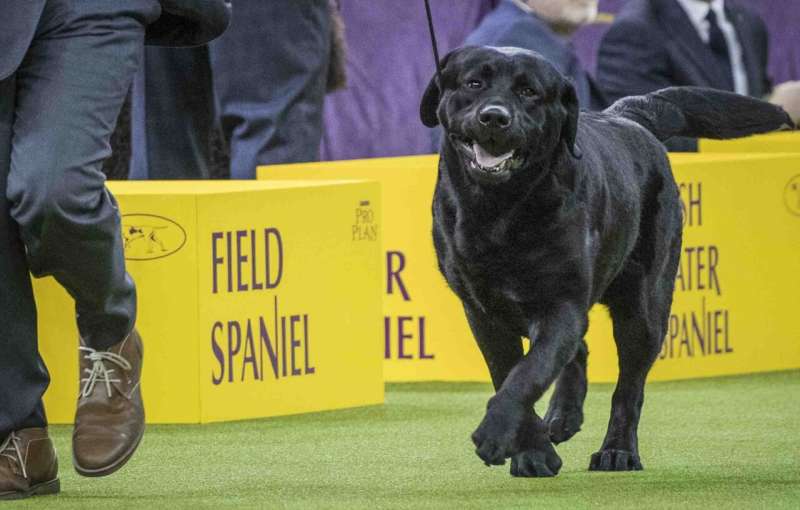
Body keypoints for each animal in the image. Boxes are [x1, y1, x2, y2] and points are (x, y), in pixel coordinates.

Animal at [422, 45, 792, 476]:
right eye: (474, 83)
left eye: (529, 91)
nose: (495, 117)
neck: (502, 211)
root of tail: (629, 113)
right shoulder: (483, 312)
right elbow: (510, 371)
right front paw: (533, 452)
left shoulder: (561, 303)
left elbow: (529, 373)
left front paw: (497, 433)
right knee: (577, 352)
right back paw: (562, 420)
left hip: (644, 309)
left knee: (628, 388)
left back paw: (618, 451)